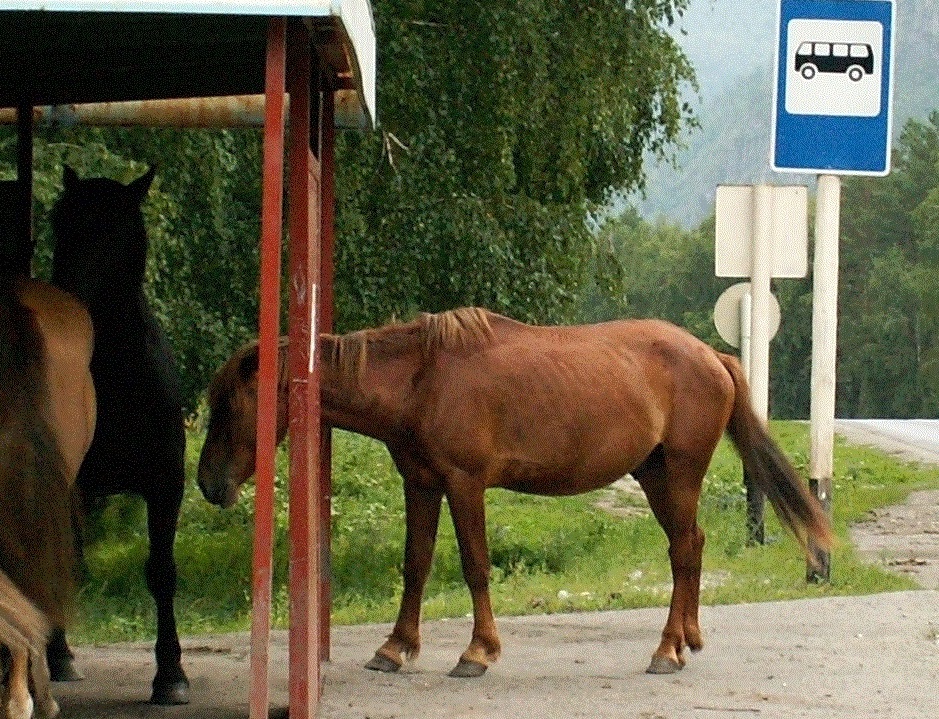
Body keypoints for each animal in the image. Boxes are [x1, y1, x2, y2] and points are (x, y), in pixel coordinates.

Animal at [48, 167, 190, 704]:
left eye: (120, 228)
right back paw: (58, 656)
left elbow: (162, 571)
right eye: (59, 220)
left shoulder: (166, 482)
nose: (65, 302)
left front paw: (171, 673)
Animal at [196, 310, 828, 680]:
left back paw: (667, 649)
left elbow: (475, 565)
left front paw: (477, 652)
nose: (207, 483)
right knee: (690, 547)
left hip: (678, 476)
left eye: (230, 404)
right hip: (656, 478)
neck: (420, 378)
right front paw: (395, 648)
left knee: (683, 551)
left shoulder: (464, 484)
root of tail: (713, 356)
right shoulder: (420, 483)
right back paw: (687, 639)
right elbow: (416, 564)